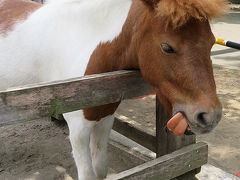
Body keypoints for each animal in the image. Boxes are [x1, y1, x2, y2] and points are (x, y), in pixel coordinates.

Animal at [0, 0, 228, 179]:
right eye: (167, 47)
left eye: (211, 43)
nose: (210, 116)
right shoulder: (78, 130)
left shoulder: (104, 118)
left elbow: (101, 168)